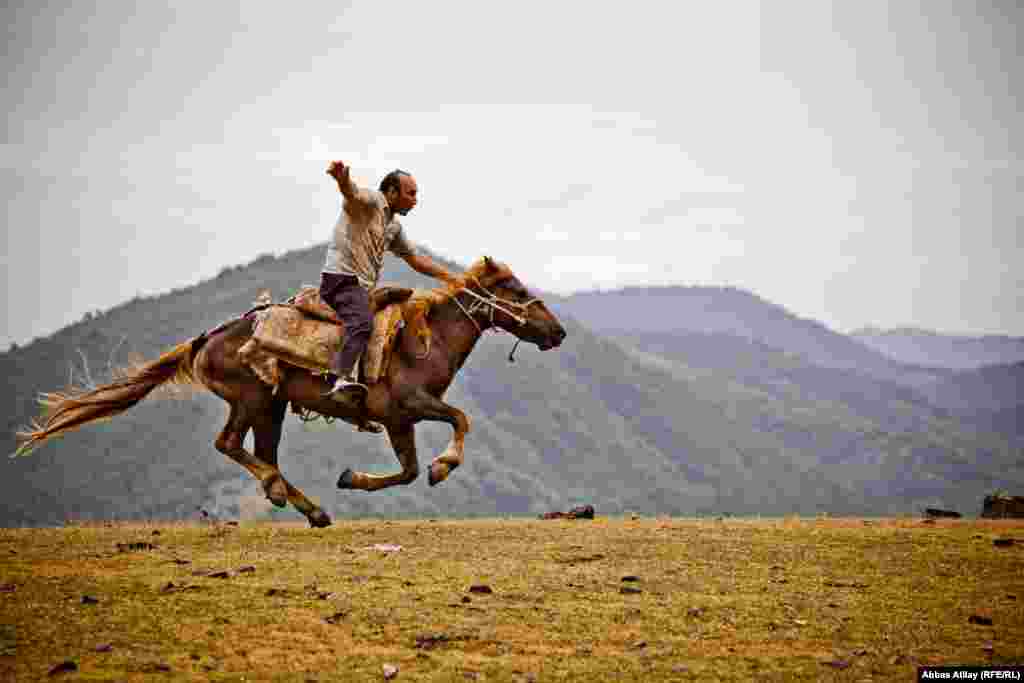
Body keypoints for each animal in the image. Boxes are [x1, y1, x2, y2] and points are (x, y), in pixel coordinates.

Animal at [16, 258, 569, 528]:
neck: (421, 339)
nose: (559, 332)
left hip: (274, 406)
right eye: (518, 291)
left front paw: (352, 478)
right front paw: (445, 465)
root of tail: (207, 339)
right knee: (231, 445)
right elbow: (458, 421)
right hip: (253, 399)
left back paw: (309, 508)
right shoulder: (410, 407)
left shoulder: (399, 422)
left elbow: (409, 470)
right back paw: (280, 492)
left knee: (261, 453)